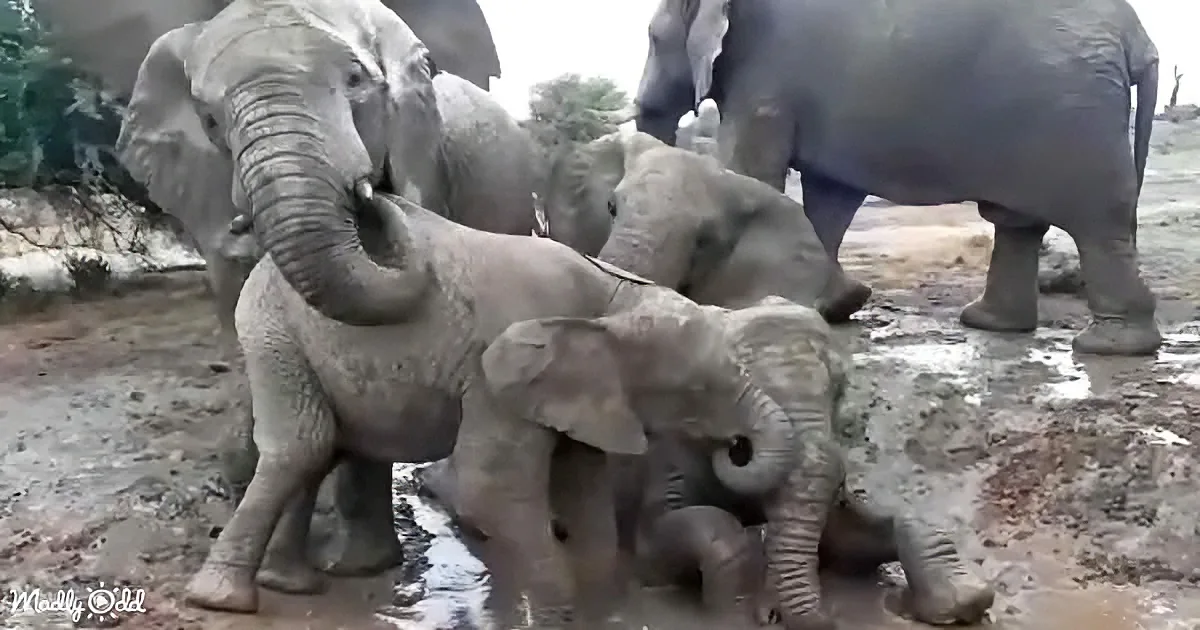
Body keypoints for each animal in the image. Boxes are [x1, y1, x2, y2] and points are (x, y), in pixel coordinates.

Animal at [192, 191, 806, 626]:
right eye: (699, 389)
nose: (736, 449)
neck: (611, 297)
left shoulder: (585, 390)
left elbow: (585, 492)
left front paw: (604, 617)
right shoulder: (496, 375)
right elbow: (491, 490)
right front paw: (558, 620)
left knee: (322, 450)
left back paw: (286, 584)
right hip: (273, 333)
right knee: (304, 446)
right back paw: (224, 599)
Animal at [419, 295, 995, 629]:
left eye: (840, 388)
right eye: (737, 385)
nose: (827, 617)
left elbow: (851, 537)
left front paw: (964, 603)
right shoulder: (664, 455)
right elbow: (674, 536)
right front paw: (736, 614)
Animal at [634, 0, 1163, 356]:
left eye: (653, 39)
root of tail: (1138, 36)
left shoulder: (765, 73)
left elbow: (752, 169)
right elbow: (831, 194)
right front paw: (835, 305)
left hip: (1075, 116)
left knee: (1097, 222)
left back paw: (1110, 347)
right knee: (1018, 223)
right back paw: (990, 324)